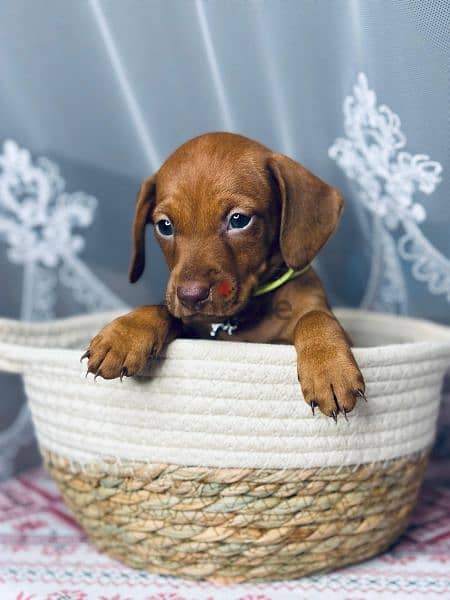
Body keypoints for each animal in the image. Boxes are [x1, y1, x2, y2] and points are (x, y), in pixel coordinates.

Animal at [84, 133, 366, 420]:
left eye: (239, 220)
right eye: (165, 226)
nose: (191, 296)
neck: (245, 316)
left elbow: (314, 317)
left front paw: (329, 368)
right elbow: (163, 309)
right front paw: (126, 334)